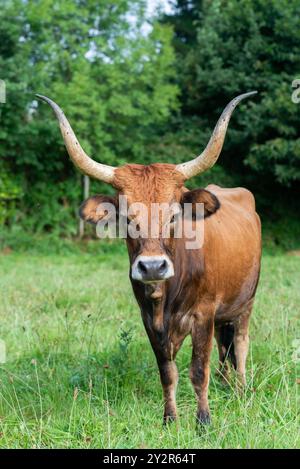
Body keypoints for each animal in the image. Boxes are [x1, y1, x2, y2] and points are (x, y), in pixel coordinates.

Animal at [37, 91, 262, 424]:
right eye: (126, 217)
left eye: (173, 215)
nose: (153, 266)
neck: (164, 299)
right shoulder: (149, 321)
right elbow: (167, 373)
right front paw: (170, 419)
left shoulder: (204, 314)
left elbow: (198, 370)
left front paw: (203, 420)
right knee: (226, 348)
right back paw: (225, 385)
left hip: (245, 302)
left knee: (241, 344)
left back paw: (241, 390)